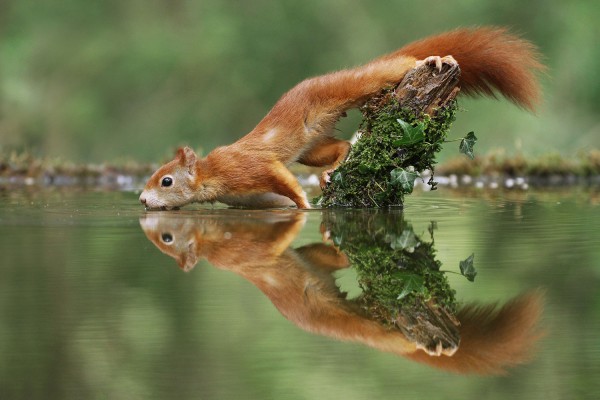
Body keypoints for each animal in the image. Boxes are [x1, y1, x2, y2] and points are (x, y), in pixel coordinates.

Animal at [139, 26, 544, 209]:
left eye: (166, 181)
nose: (142, 201)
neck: (214, 176)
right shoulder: (250, 199)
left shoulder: (249, 168)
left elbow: (282, 179)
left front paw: (305, 207)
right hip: (312, 148)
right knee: (339, 149)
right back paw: (332, 170)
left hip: (353, 86)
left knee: (391, 69)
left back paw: (432, 59)